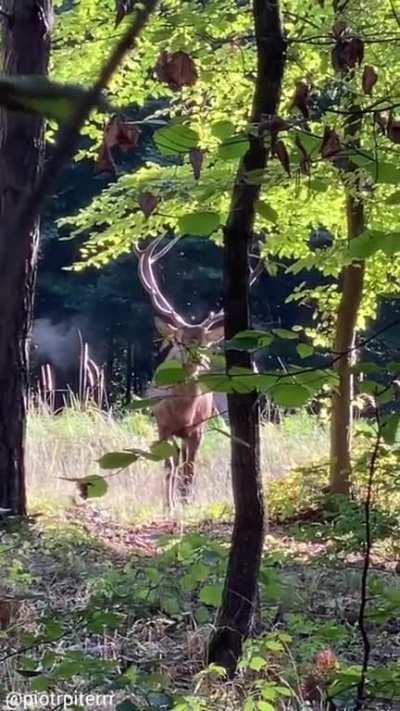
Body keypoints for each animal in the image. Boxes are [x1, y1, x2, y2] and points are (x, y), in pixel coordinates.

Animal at [136, 235, 262, 512]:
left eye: (204, 343)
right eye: (181, 342)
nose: (197, 360)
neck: (181, 411)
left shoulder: (198, 428)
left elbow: (190, 469)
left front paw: (186, 503)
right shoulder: (162, 424)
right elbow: (169, 466)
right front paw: (169, 506)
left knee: (186, 462)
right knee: (174, 462)